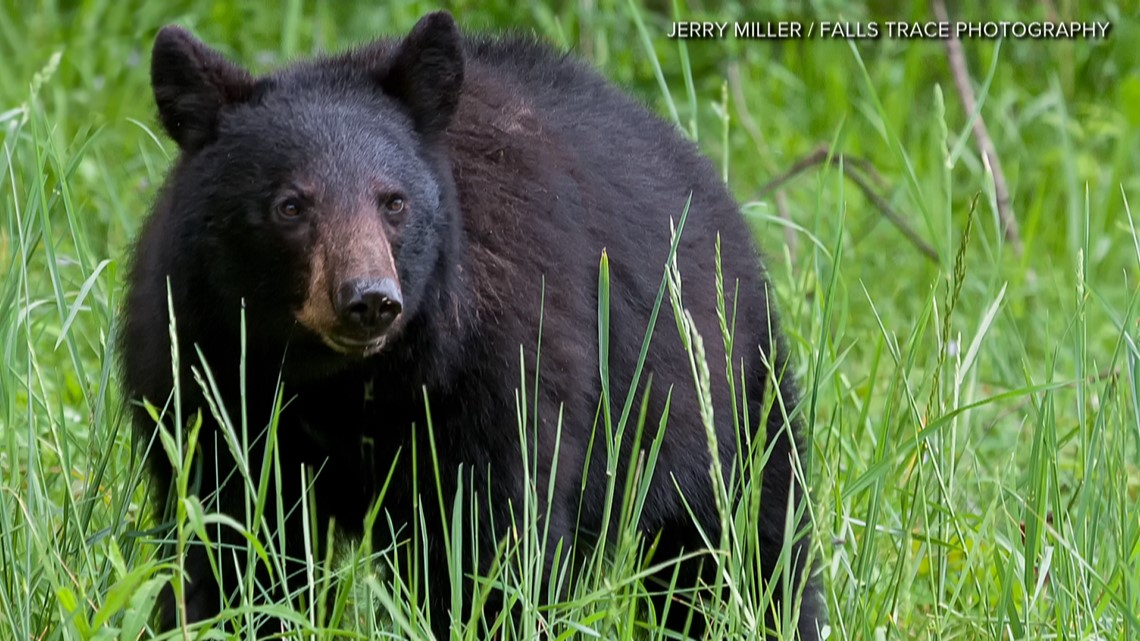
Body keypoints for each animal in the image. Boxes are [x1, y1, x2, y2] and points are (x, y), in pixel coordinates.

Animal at [122, 9, 820, 638]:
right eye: (290, 205)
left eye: (394, 202)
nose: (368, 299)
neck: (343, 379)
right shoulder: (205, 370)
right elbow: (234, 538)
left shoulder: (496, 366)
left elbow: (491, 537)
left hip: (722, 385)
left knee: (747, 540)